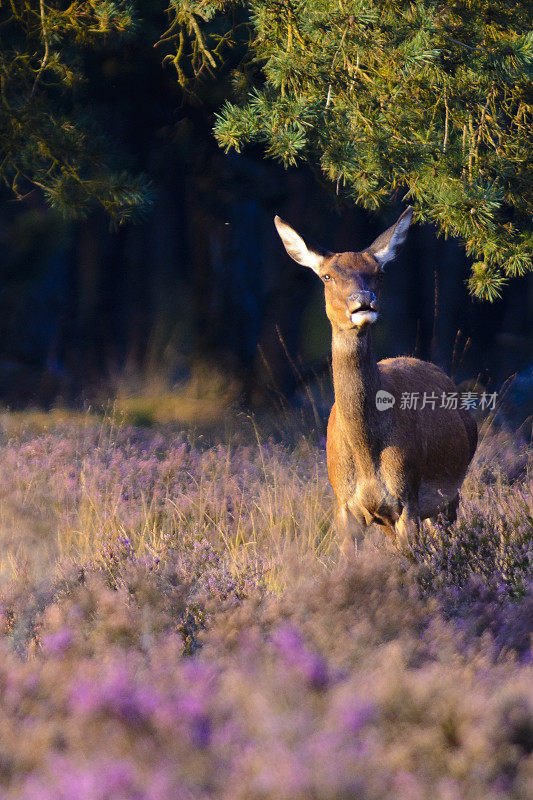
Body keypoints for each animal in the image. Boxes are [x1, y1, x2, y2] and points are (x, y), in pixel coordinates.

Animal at [274, 208, 478, 556]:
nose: (363, 300)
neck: (366, 453)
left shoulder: (407, 498)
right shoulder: (346, 507)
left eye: (379, 273)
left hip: (449, 493)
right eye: (327, 276)